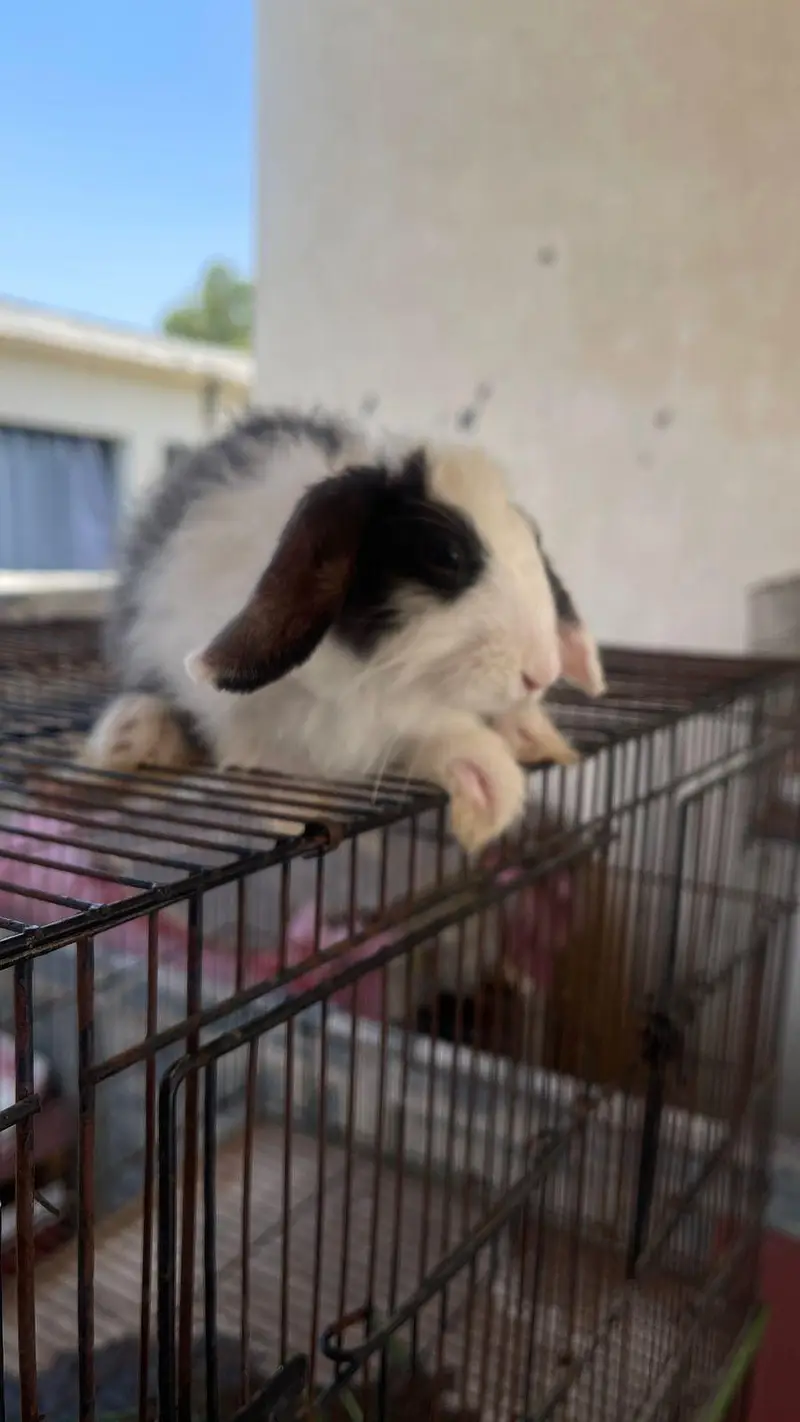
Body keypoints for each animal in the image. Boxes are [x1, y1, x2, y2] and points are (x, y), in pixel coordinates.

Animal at [83, 409, 605, 855]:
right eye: (446, 556)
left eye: (535, 541)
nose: (541, 673)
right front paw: (491, 783)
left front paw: (513, 752)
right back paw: (130, 737)